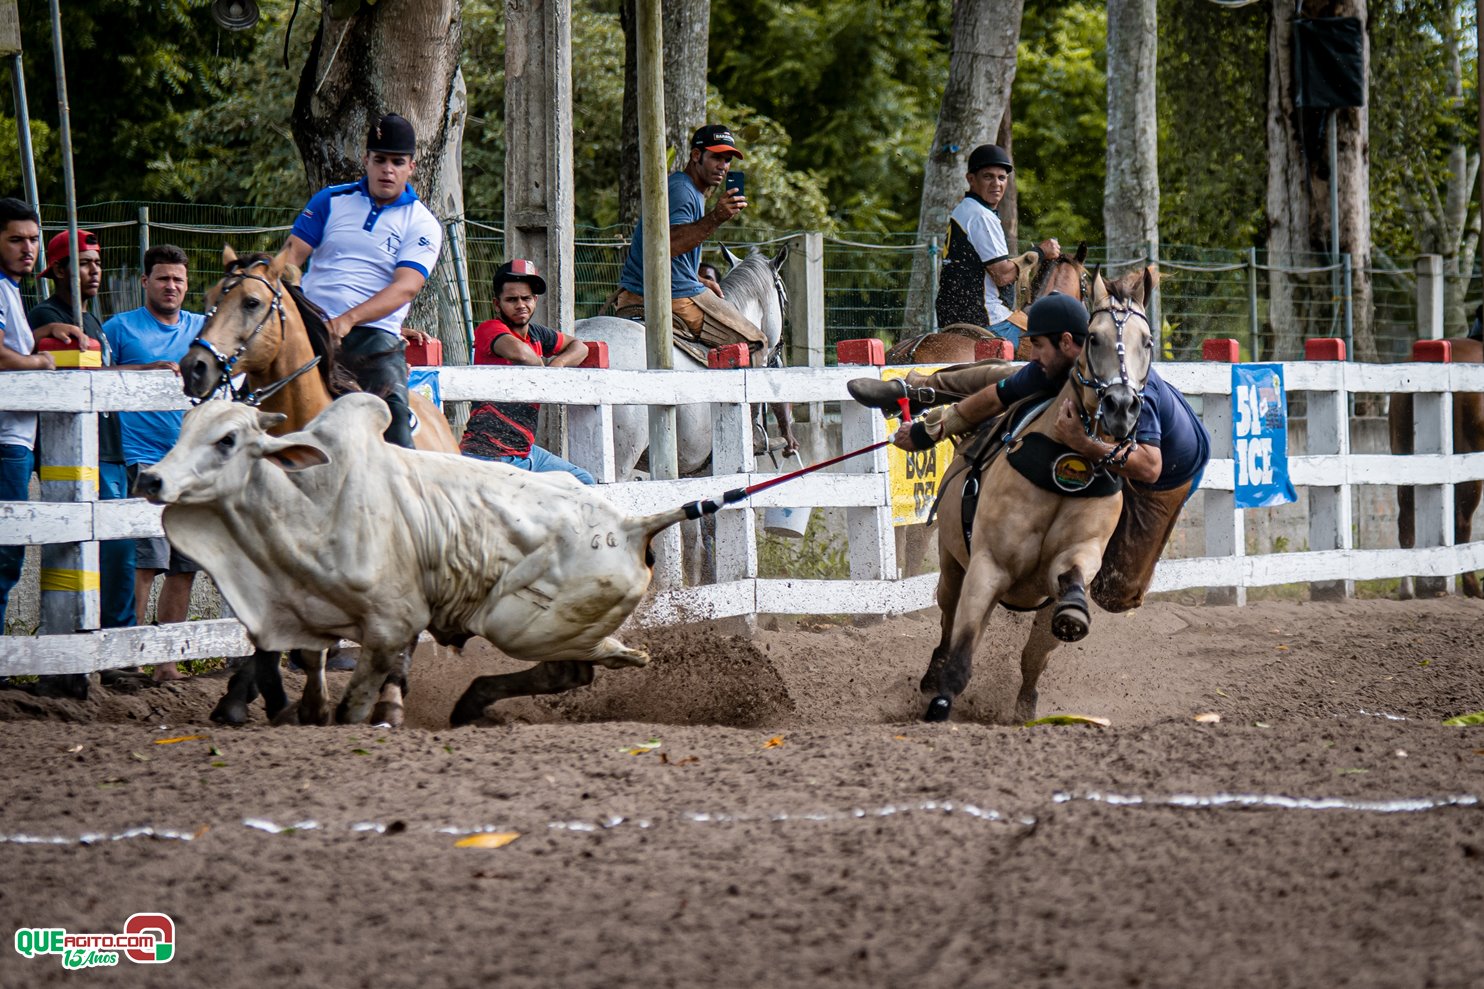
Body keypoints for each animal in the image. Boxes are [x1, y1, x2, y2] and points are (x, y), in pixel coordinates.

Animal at [139, 392, 688, 724]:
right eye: (184, 427)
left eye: (227, 439)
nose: (151, 478)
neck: (309, 502)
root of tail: (632, 526)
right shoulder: (303, 610)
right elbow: (307, 661)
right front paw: (301, 711)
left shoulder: (391, 626)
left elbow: (356, 701)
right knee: (567, 673)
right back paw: (471, 704)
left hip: (520, 626)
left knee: (588, 662)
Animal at [178, 246, 457, 724]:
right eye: (212, 296)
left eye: (251, 301)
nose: (195, 367)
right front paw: (266, 698)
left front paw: (313, 704)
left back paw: (390, 700)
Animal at [920, 265, 1151, 721]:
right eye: (1093, 337)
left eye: (1147, 342)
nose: (1121, 407)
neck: (1063, 463)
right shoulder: (987, 567)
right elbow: (961, 652)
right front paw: (940, 703)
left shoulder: (1079, 554)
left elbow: (1071, 581)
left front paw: (1074, 611)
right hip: (952, 567)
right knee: (947, 621)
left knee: (1032, 659)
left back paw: (1025, 709)